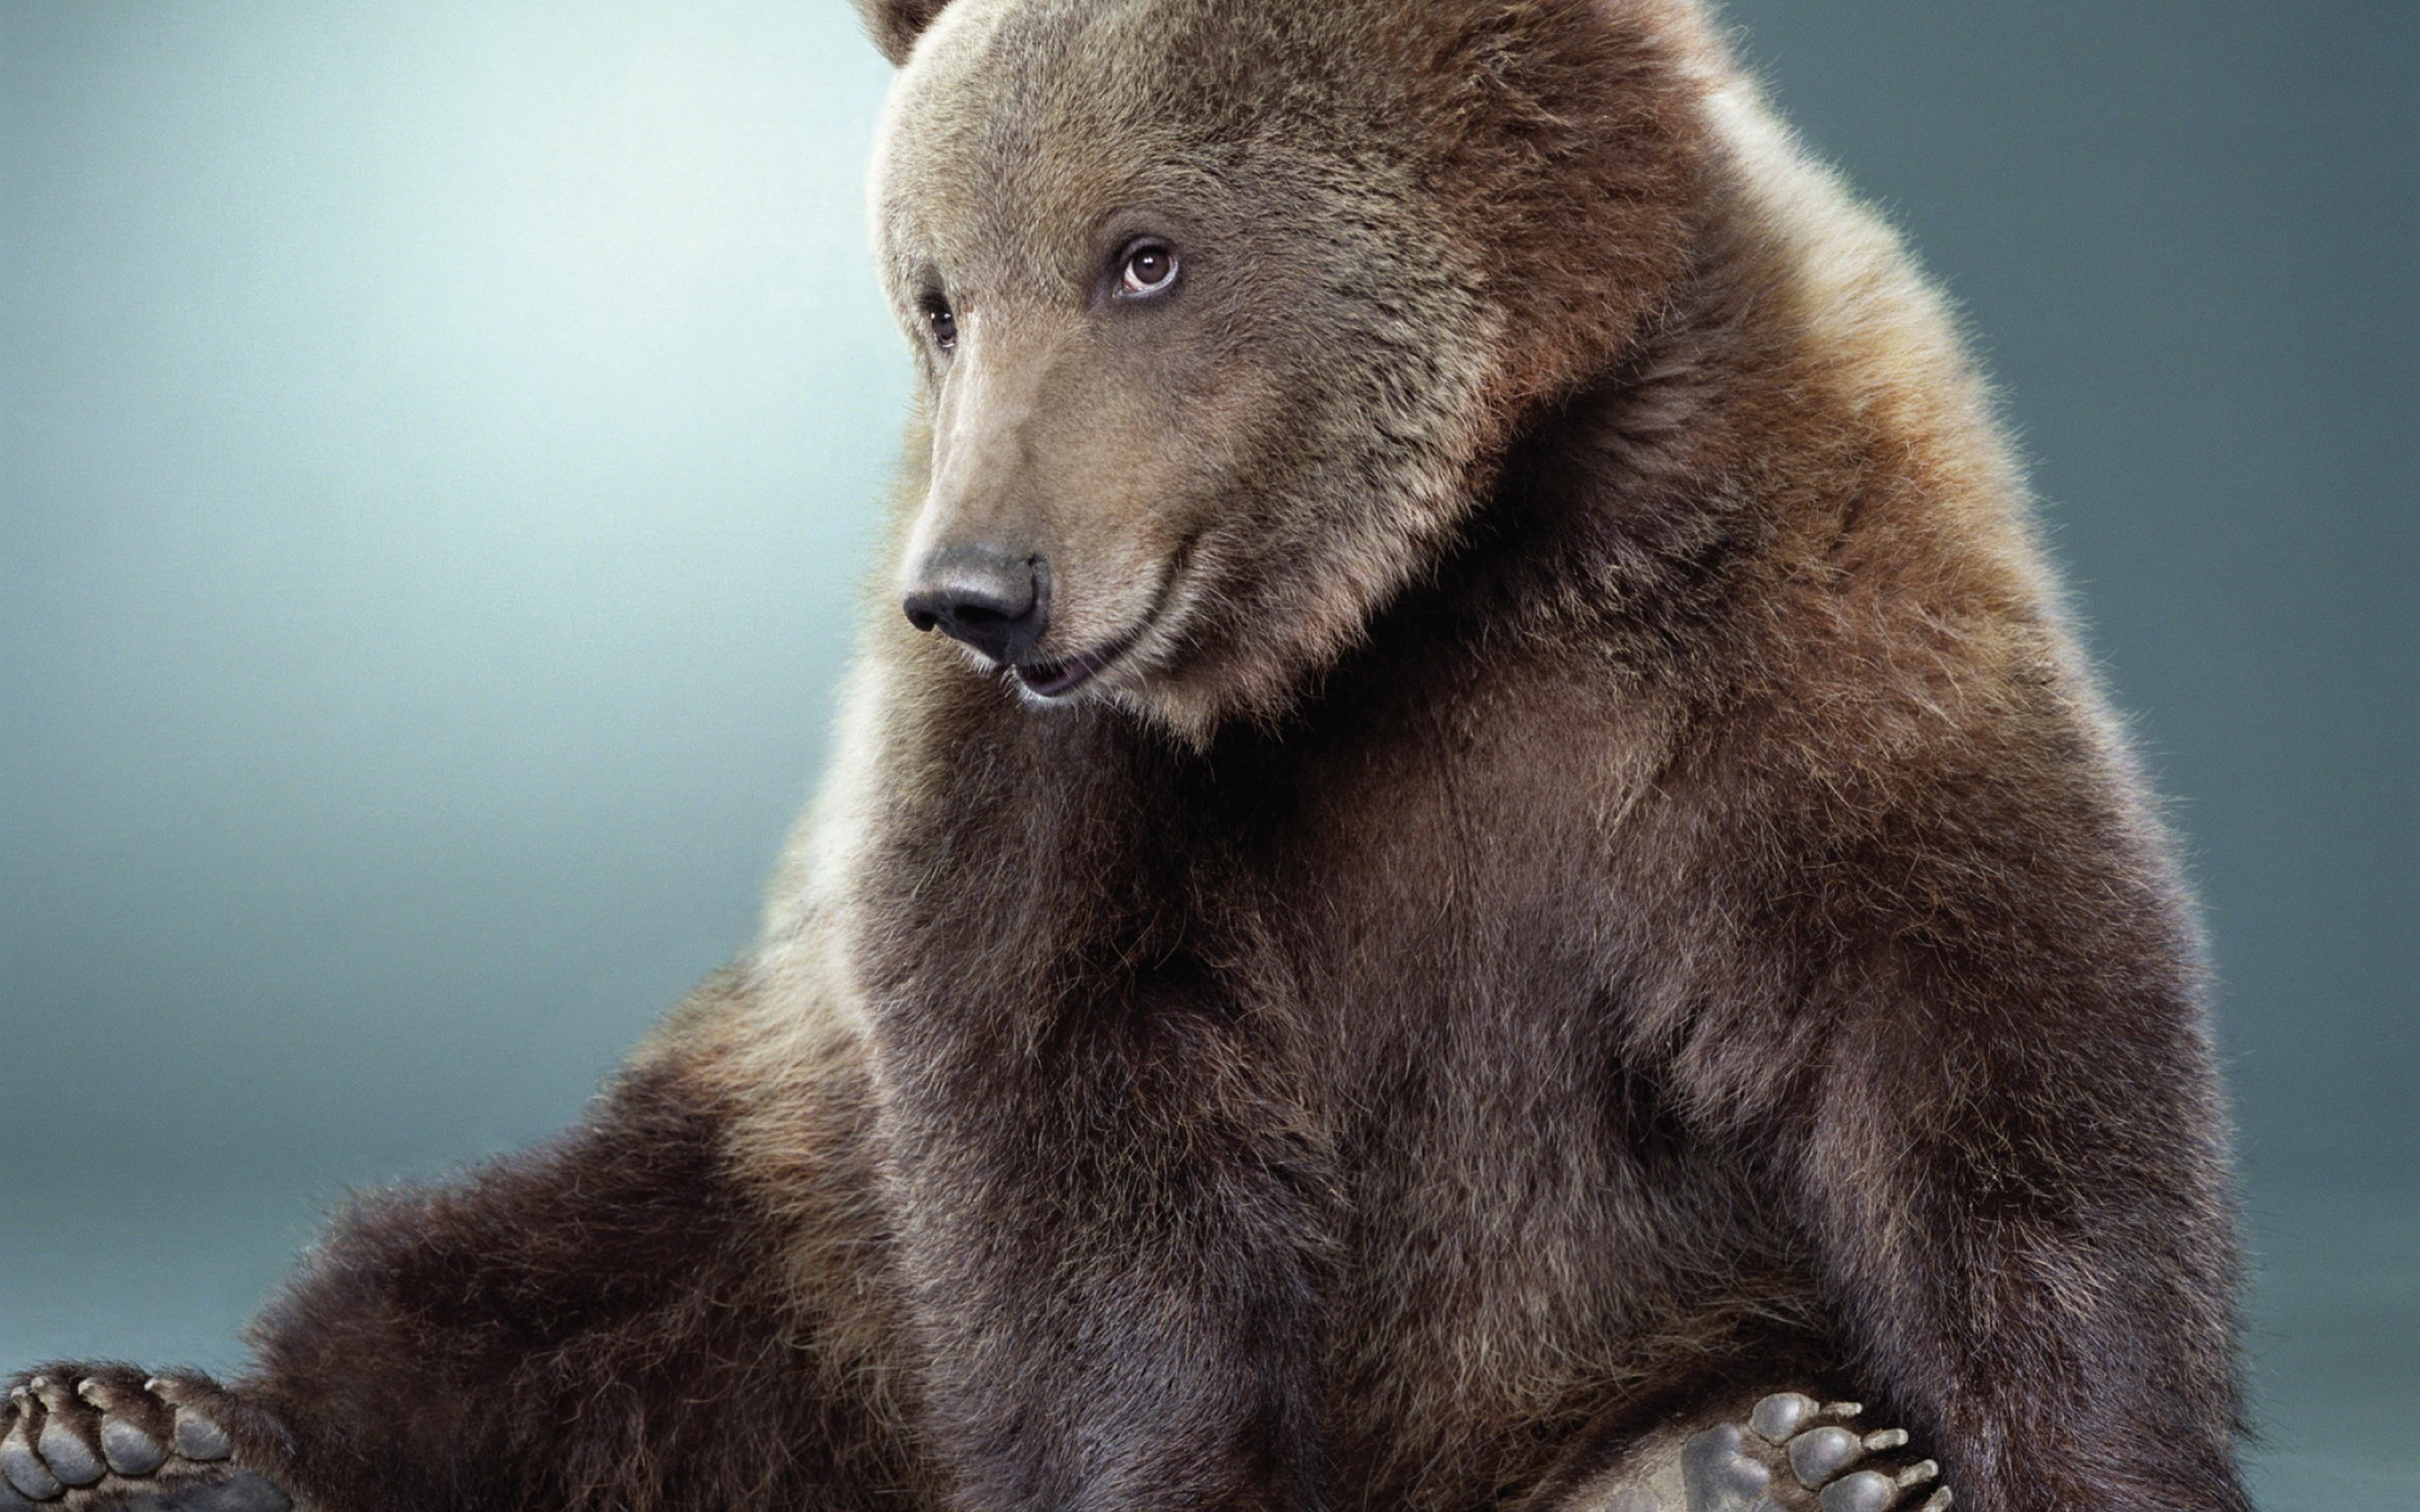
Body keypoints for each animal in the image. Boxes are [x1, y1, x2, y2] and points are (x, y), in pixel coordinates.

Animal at [3, 1, 2253, 1510]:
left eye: (1144, 253)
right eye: (934, 292)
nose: (978, 589)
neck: (1433, 579)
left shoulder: (1785, 596)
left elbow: (1978, 1035)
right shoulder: (1057, 791)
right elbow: (1072, 1127)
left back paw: (1764, 1455)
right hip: (777, 1189)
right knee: (525, 1286)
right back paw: (144, 1432)